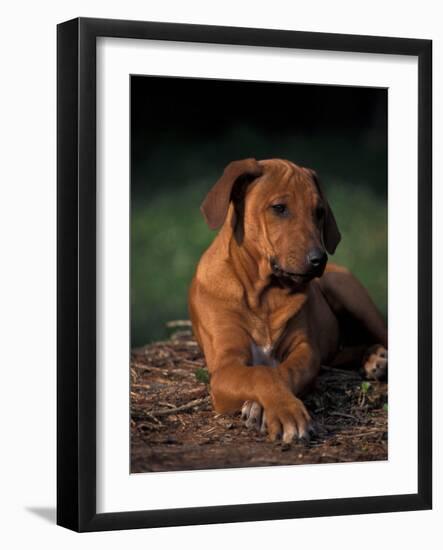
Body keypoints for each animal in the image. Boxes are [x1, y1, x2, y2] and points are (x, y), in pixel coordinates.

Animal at [188, 158, 388, 444]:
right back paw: (372, 357)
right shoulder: (225, 366)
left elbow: (280, 373)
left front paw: (270, 408)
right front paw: (282, 411)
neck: (264, 295)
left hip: (349, 291)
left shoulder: (305, 351)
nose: (319, 260)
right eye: (279, 208)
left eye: (319, 212)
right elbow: (261, 374)